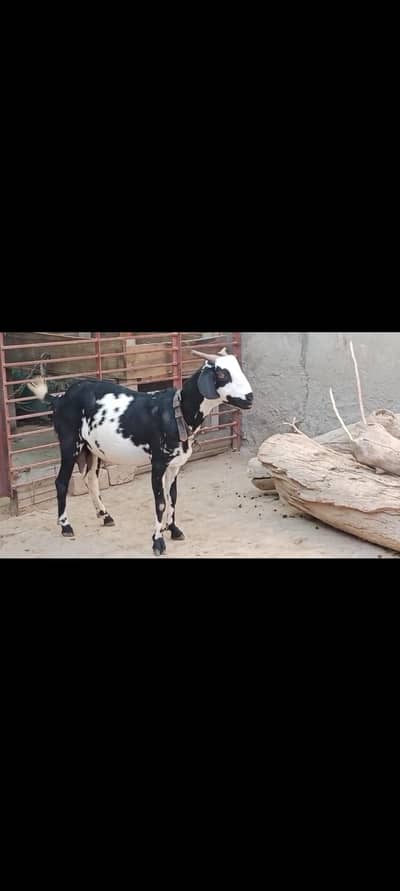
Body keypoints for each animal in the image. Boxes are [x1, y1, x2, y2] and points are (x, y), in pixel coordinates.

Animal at [28, 348, 253, 555]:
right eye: (222, 374)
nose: (250, 397)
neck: (176, 412)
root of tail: (59, 399)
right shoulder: (158, 463)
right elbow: (160, 502)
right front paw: (158, 542)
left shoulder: (175, 465)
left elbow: (173, 496)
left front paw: (174, 529)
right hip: (69, 442)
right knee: (61, 482)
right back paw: (66, 526)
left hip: (91, 448)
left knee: (91, 479)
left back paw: (105, 515)